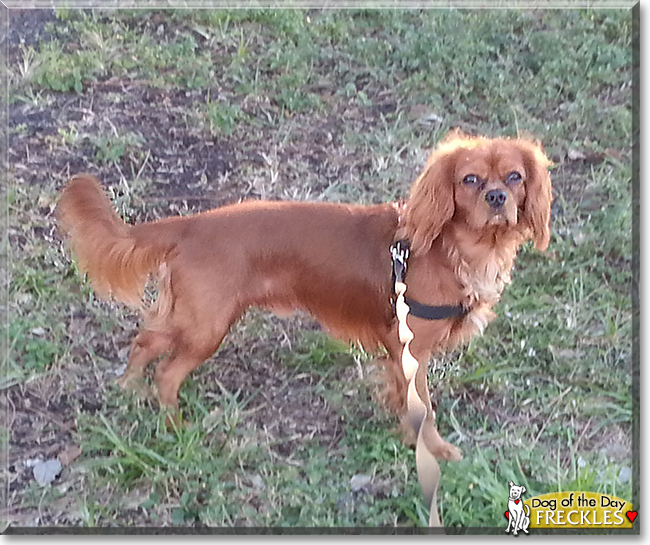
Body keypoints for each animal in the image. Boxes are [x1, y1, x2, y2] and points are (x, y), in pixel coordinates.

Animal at [58, 133, 548, 460]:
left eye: (514, 177)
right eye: (470, 179)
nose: (497, 196)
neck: (454, 249)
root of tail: (192, 225)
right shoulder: (410, 349)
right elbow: (422, 406)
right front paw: (433, 449)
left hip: (193, 318)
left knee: (146, 341)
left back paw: (129, 390)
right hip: (205, 327)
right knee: (167, 371)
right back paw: (174, 424)